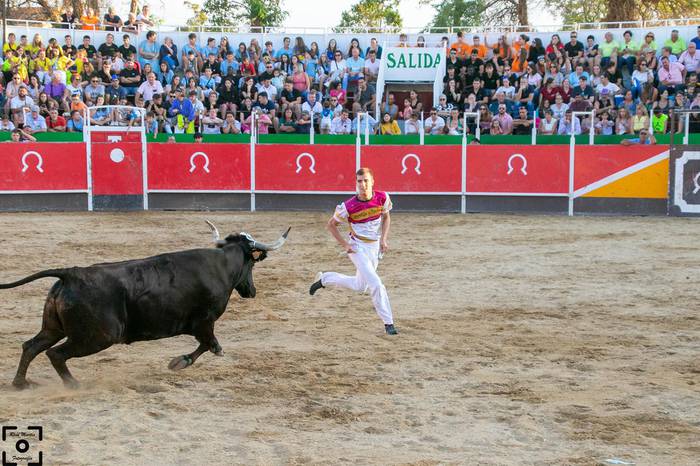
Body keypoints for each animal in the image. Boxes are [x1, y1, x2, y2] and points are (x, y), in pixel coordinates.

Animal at [0, 222, 290, 390]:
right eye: (252, 263)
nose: (251, 291)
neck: (221, 266)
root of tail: (71, 274)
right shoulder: (203, 322)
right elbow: (210, 345)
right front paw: (180, 362)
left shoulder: (198, 325)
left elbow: (208, 345)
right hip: (98, 337)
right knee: (55, 354)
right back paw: (74, 385)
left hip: (54, 328)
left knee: (31, 346)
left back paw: (20, 383)